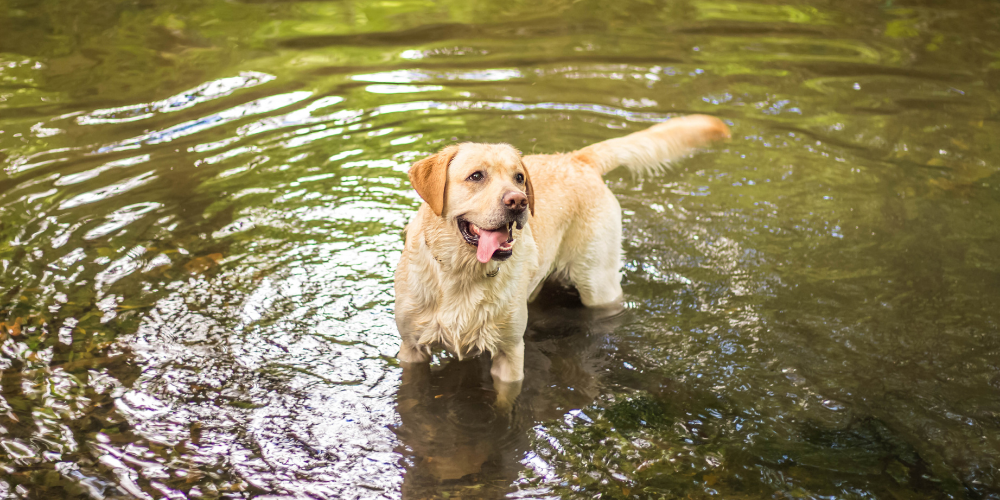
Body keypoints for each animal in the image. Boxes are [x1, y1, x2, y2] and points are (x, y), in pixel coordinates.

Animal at [394, 114, 732, 390]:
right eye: (476, 176)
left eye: (519, 177)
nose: (519, 201)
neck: (461, 274)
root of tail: (577, 158)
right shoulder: (411, 349)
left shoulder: (509, 354)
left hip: (598, 283)